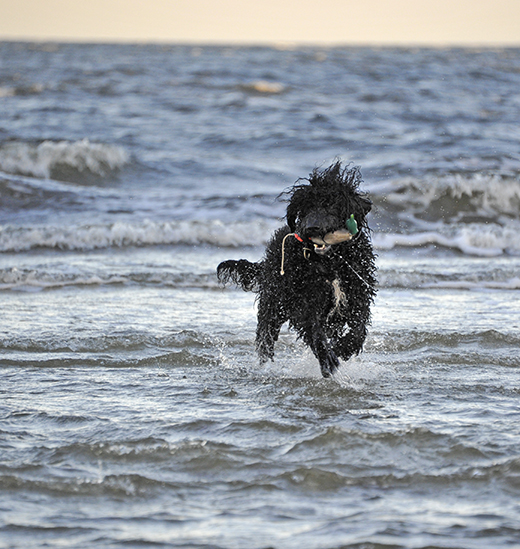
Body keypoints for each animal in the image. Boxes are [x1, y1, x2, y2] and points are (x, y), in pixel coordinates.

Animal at [217, 163, 376, 376]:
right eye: (305, 208)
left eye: (330, 204)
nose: (310, 228)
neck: (330, 264)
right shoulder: (306, 300)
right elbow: (314, 329)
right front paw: (327, 358)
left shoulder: (357, 296)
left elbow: (358, 330)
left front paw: (342, 349)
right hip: (272, 304)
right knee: (265, 339)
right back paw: (265, 367)